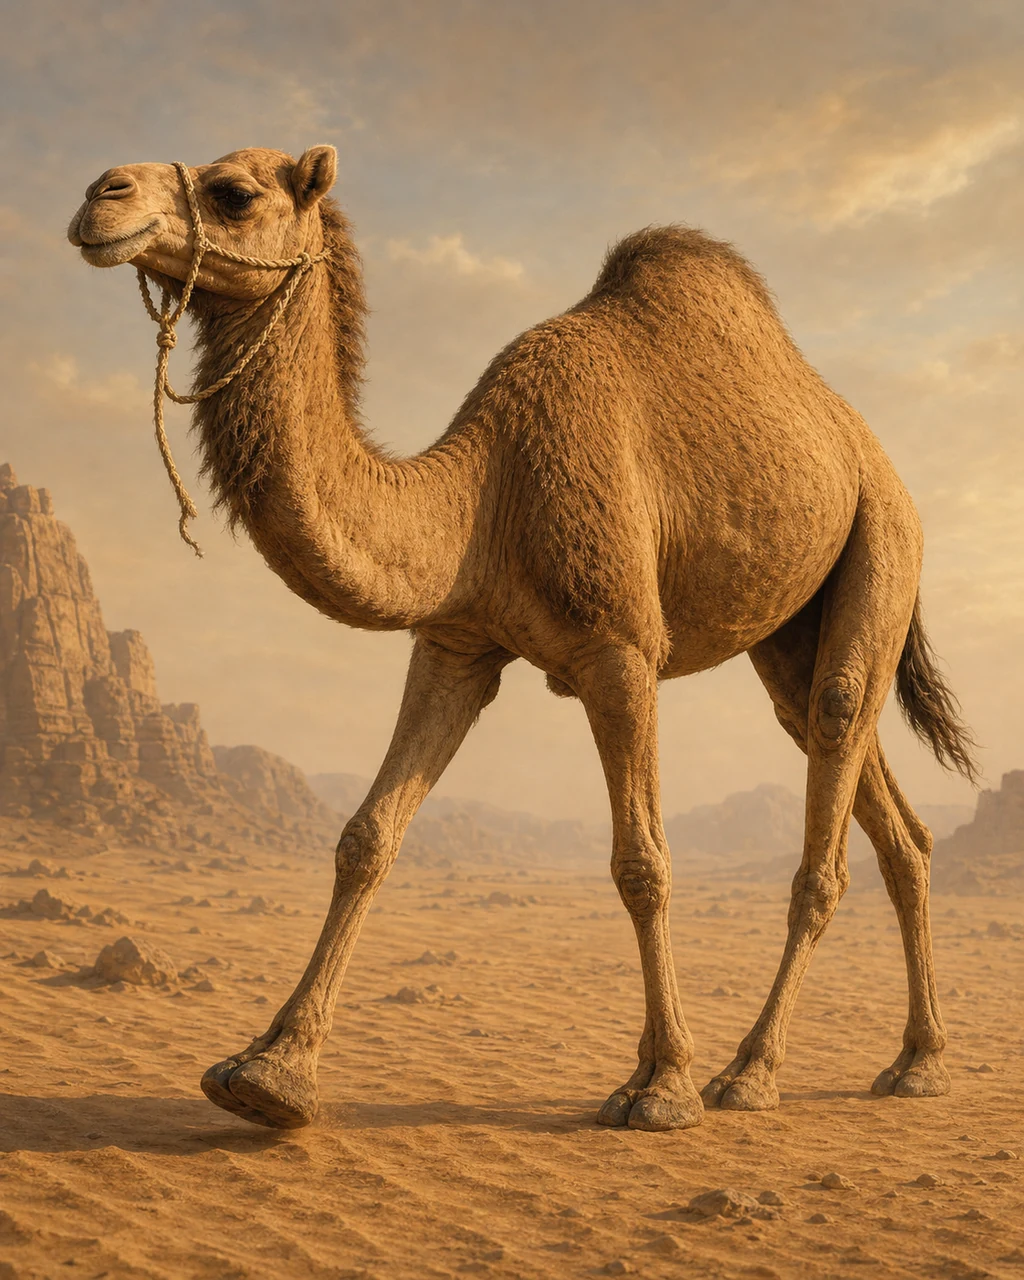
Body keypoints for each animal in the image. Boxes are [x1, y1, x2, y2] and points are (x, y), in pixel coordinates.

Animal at [68, 146, 976, 1132]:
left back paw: (750, 1073)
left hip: (884, 539)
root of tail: (875, 453)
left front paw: (660, 1084)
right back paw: (918, 1060)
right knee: (871, 793)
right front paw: (268, 1070)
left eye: (233, 193)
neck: (483, 495)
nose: (100, 197)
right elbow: (366, 837)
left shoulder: (620, 649)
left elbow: (642, 862)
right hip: (790, 628)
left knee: (833, 771)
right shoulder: (456, 643)